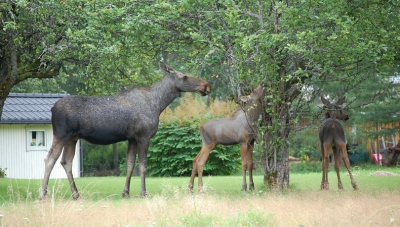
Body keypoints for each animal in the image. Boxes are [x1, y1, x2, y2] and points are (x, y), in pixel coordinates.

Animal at [39, 61, 211, 199]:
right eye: (184, 76)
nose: (206, 86)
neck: (159, 104)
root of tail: (52, 109)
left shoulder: (132, 138)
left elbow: (130, 165)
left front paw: (126, 193)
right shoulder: (143, 136)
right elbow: (143, 166)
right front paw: (143, 193)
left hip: (72, 138)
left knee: (66, 161)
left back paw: (76, 194)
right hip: (61, 134)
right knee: (50, 159)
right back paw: (43, 194)